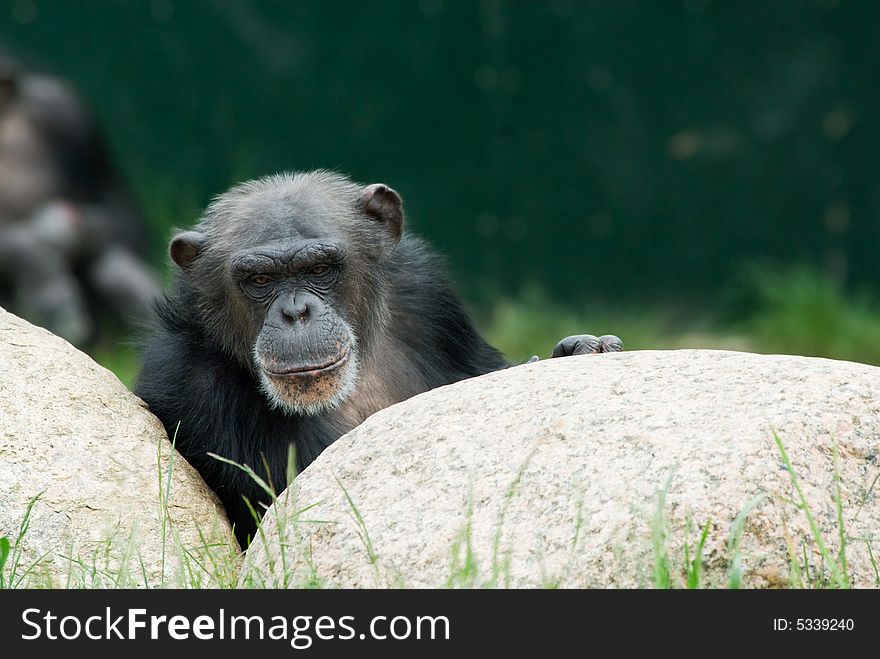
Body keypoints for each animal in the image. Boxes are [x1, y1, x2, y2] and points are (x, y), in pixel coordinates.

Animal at [134, 171, 624, 548]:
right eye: (259, 280)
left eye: (319, 269)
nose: (296, 313)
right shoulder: (188, 382)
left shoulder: (427, 294)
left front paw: (578, 348)